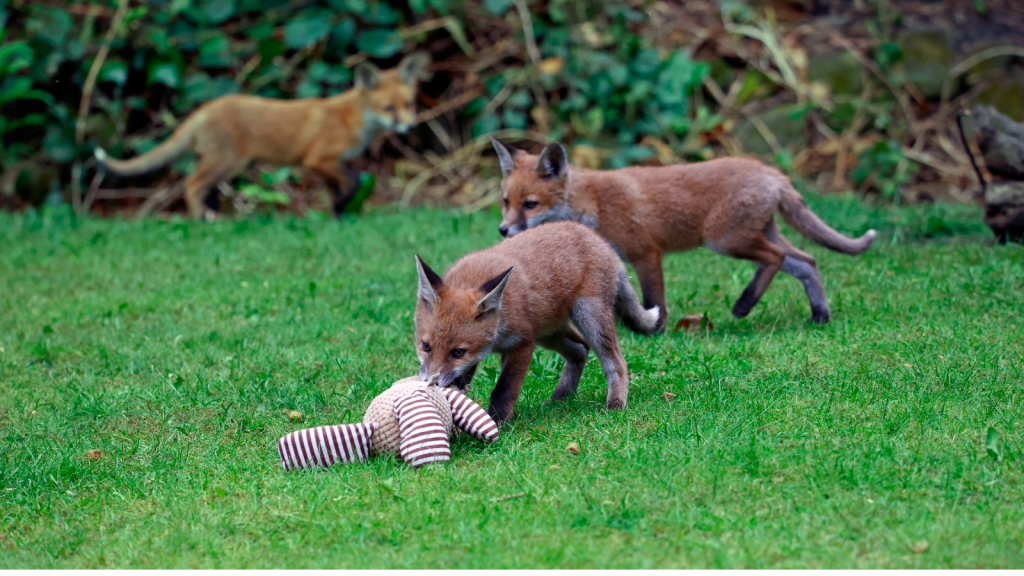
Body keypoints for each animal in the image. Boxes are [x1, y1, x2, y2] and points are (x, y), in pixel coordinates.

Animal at [94, 52, 430, 219]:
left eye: (409, 105)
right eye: (388, 108)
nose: (409, 127)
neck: (353, 119)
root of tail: (205, 108)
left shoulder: (328, 166)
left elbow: (338, 190)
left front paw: (339, 215)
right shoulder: (318, 159)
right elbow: (352, 182)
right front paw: (343, 209)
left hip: (225, 166)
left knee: (206, 189)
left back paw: (216, 216)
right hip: (226, 163)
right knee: (191, 185)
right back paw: (203, 220)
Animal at [411, 219, 659, 422]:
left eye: (458, 352)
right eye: (426, 346)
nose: (431, 384)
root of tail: (599, 240)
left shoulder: (522, 343)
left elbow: (504, 389)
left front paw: (499, 423)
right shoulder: (481, 355)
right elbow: (464, 378)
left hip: (589, 318)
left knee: (616, 363)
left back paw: (615, 404)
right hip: (549, 332)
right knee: (580, 349)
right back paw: (561, 398)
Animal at [491, 138, 876, 327]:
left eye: (530, 204)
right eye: (505, 201)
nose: (503, 229)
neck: (594, 202)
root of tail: (772, 172)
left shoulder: (646, 252)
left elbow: (654, 299)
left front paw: (655, 330)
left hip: (725, 239)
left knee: (776, 258)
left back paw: (744, 304)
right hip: (756, 234)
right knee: (806, 261)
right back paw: (819, 315)